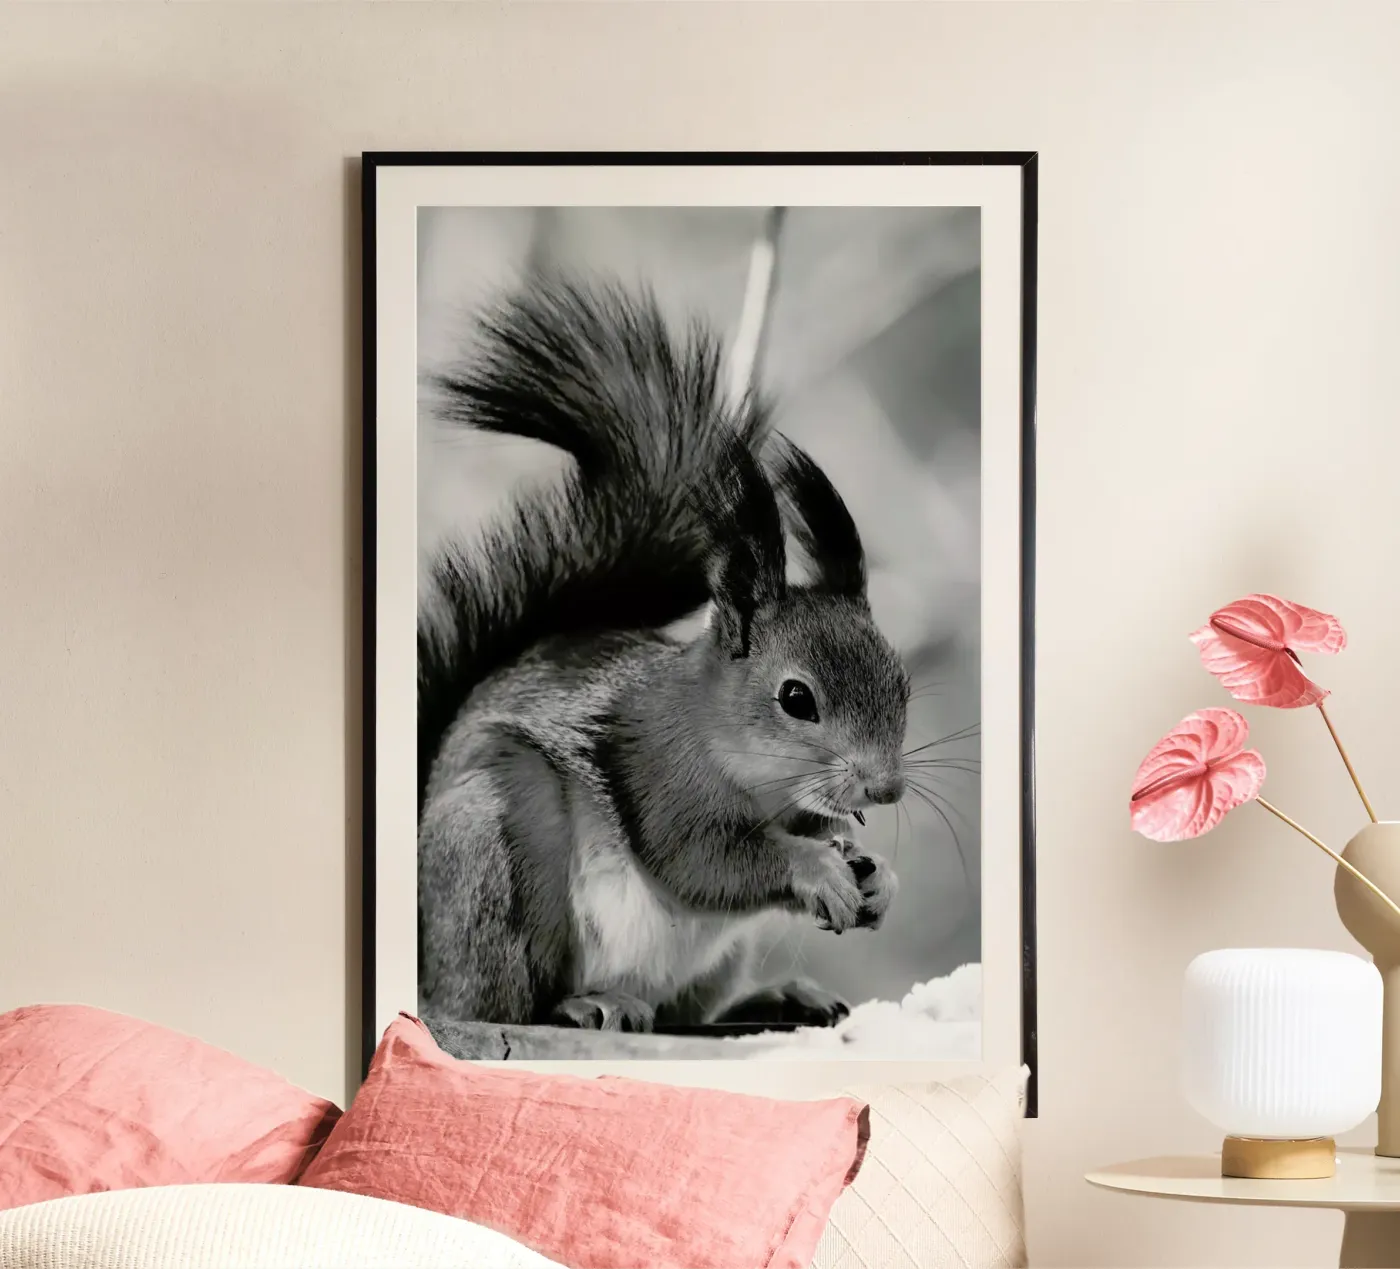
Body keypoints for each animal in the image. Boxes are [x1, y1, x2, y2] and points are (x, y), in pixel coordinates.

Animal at [417, 278, 911, 1033]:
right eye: (796, 698)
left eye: (901, 683)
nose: (884, 788)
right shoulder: (659, 771)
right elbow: (704, 860)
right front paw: (817, 869)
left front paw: (876, 874)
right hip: (494, 850)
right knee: (507, 1003)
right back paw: (585, 1003)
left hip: (714, 963)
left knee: (694, 1014)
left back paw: (776, 996)